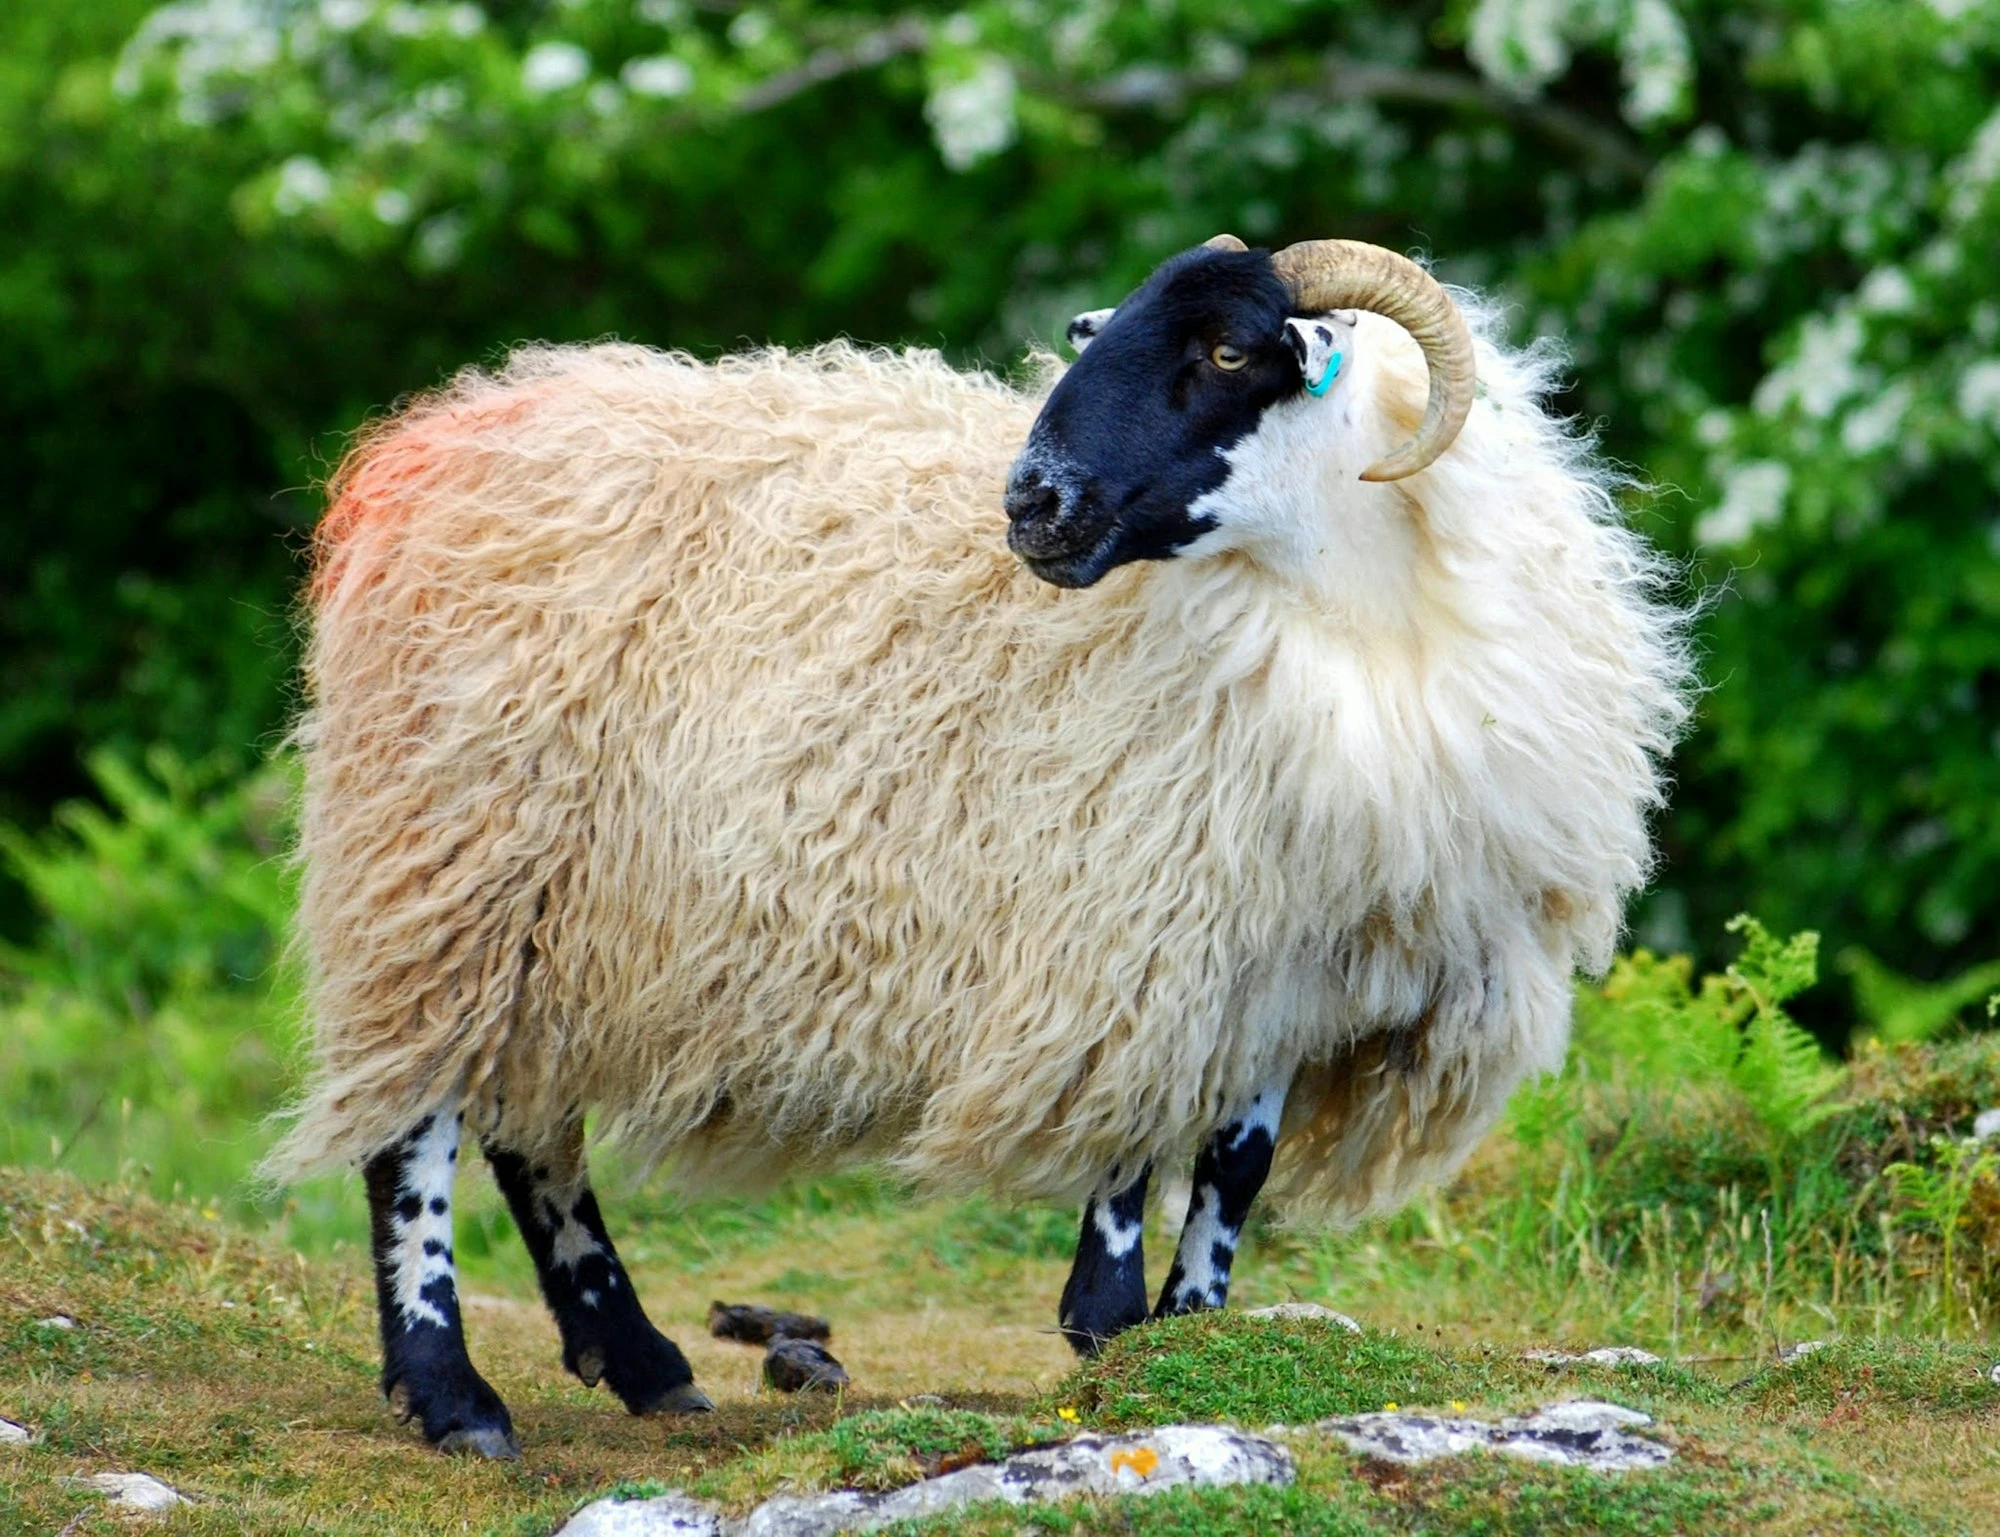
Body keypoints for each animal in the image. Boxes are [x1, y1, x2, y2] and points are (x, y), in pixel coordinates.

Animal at [274, 235, 1690, 1456]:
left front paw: (1194, 1339)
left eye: (1231, 350)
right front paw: (1109, 1332)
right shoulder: (1130, 905)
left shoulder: (1284, 949)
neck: (1344, 622)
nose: (1031, 502)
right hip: (447, 849)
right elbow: (1129, 1138)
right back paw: (453, 1393)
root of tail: (434, 441)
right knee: (417, 1136)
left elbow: (1232, 1160)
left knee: (532, 1134)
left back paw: (641, 1361)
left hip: (555, 912)